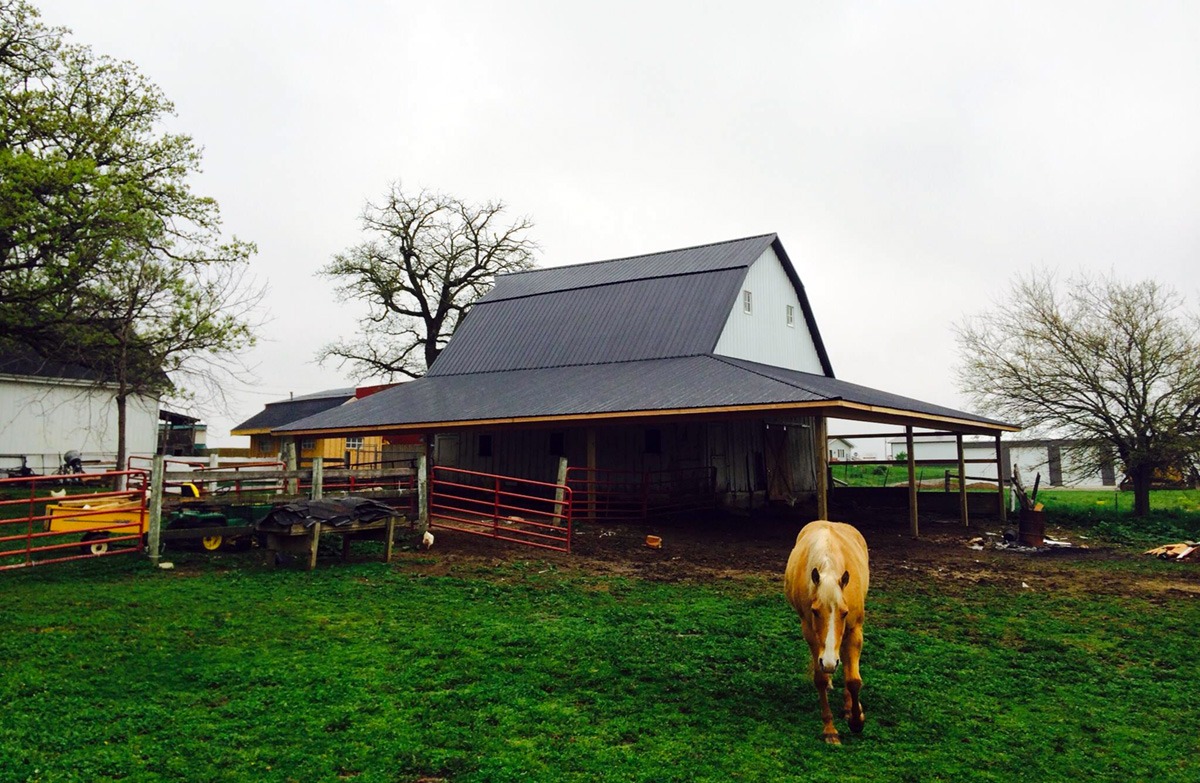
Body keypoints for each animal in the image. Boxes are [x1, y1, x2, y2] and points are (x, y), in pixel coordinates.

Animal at [782, 523, 868, 744]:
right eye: (815, 611)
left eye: (844, 612)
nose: (829, 663)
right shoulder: (811, 635)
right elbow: (820, 679)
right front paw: (830, 730)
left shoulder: (854, 631)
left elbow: (853, 680)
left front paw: (856, 720)